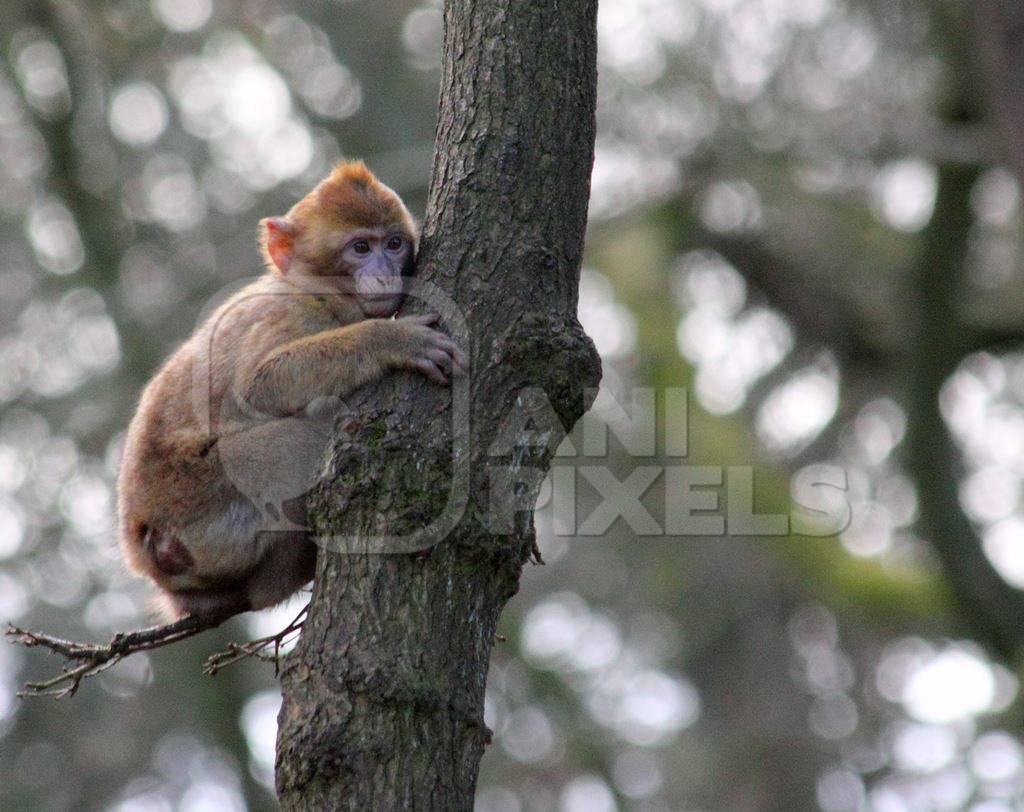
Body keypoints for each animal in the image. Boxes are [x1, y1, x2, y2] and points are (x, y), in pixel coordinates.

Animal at [117, 162, 466, 622]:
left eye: (393, 244)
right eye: (360, 247)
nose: (385, 272)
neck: (316, 293)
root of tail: (145, 545)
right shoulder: (289, 316)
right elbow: (256, 385)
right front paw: (391, 340)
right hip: (203, 500)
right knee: (304, 438)